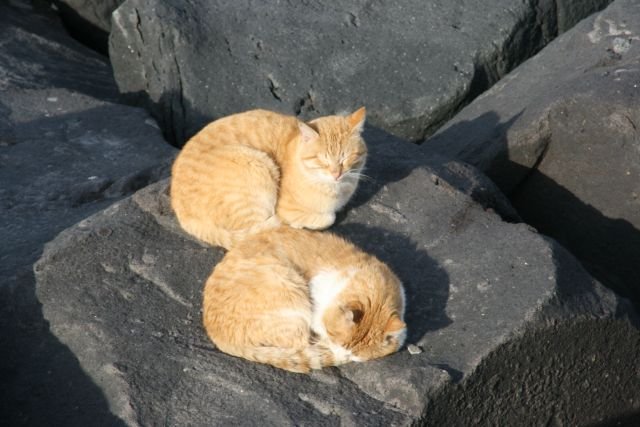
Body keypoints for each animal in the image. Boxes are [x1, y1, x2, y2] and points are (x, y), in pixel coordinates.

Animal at [170, 108, 368, 251]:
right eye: (322, 159)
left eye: (346, 158)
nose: (336, 174)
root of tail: (181, 211)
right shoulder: (286, 209)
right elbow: (328, 217)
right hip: (258, 166)